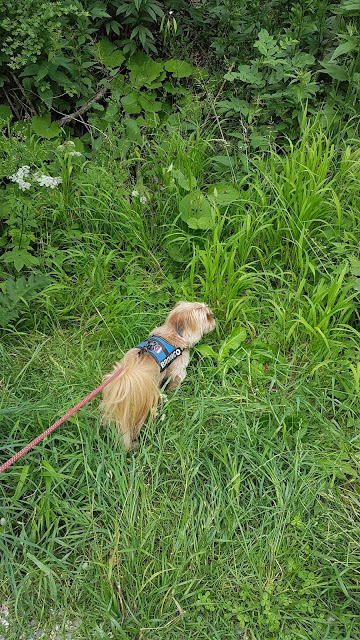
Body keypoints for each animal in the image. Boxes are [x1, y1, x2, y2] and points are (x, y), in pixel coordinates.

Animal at [100, 302, 215, 448]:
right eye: (206, 316)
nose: (214, 316)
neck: (172, 334)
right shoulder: (178, 371)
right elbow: (174, 383)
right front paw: (172, 392)